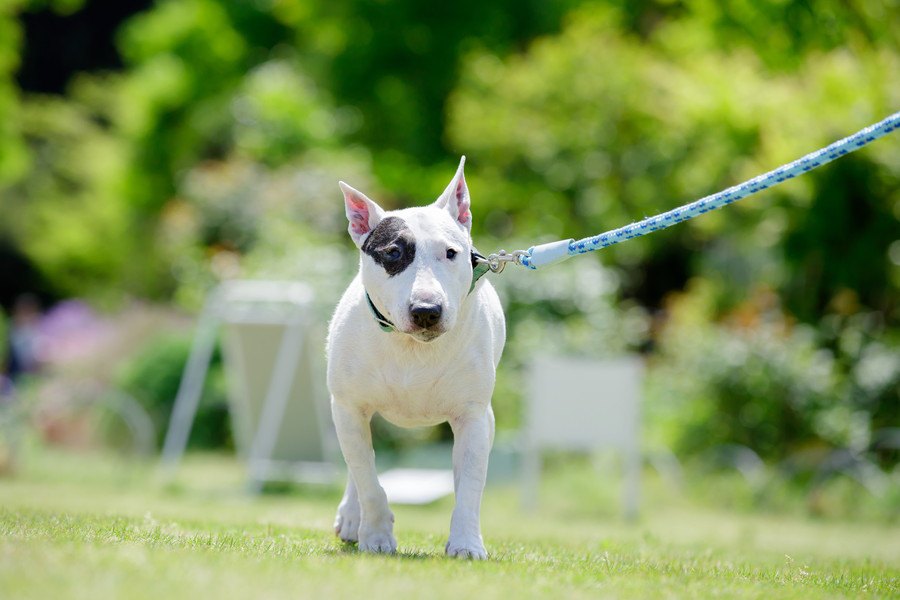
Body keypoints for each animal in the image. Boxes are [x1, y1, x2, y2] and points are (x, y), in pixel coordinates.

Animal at [326, 156, 506, 556]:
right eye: (393, 253)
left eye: (451, 253)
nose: (427, 311)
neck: (412, 347)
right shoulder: (348, 406)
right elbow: (368, 479)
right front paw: (377, 536)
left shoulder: (473, 416)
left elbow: (470, 484)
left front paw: (466, 544)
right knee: (357, 464)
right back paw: (352, 517)